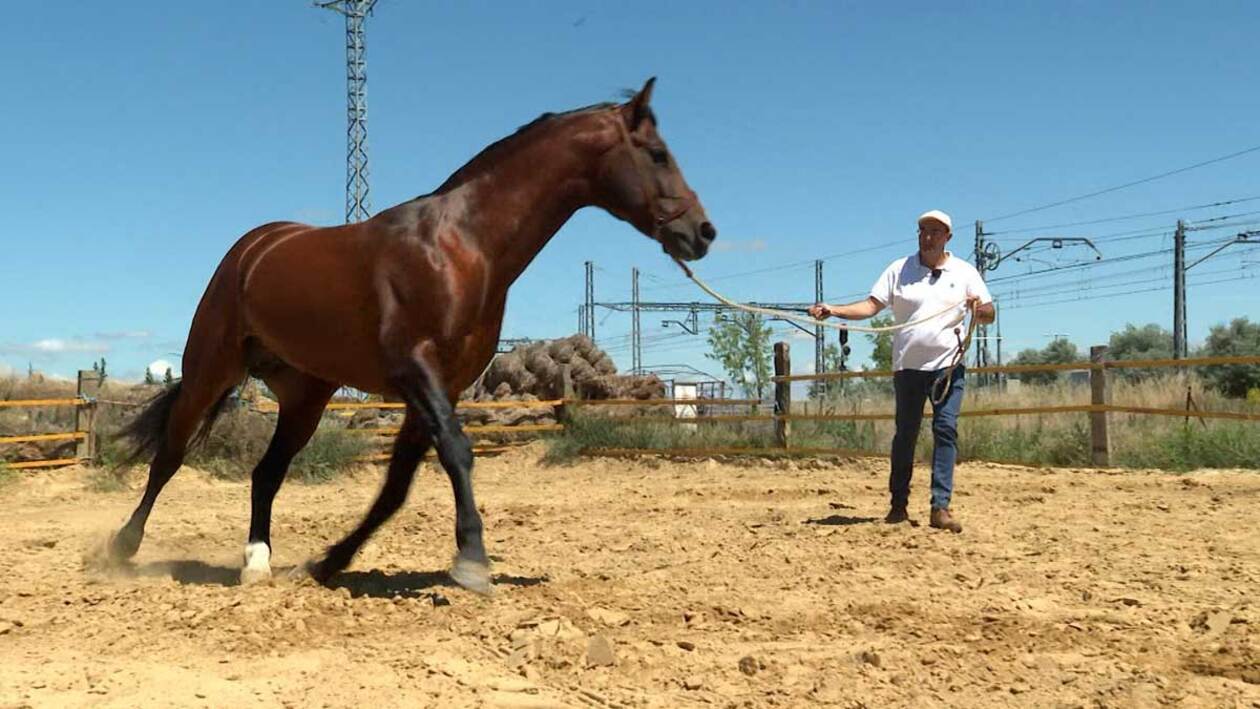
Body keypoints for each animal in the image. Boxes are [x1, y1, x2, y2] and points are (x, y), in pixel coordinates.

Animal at [104, 78, 715, 595]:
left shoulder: (444, 384)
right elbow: (457, 452)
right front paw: (472, 562)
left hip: (305, 396)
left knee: (267, 473)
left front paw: (328, 563)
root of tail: (253, 248)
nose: (703, 233)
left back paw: (257, 564)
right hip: (211, 369)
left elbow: (397, 484)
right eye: (657, 154)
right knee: (170, 455)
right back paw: (120, 550)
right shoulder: (415, 370)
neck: (461, 247)